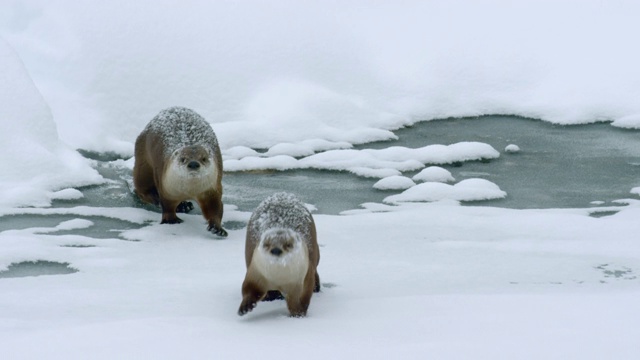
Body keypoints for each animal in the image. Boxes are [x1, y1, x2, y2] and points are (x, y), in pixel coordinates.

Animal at [132, 106, 228, 236]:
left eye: (203, 158)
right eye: (183, 159)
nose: (193, 164)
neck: (190, 191)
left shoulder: (212, 190)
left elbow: (215, 208)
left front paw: (217, 228)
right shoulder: (167, 188)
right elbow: (167, 205)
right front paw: (171, 220)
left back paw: (185, 205)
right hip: (143, 164)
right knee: (142, 188)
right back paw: (160, 200)